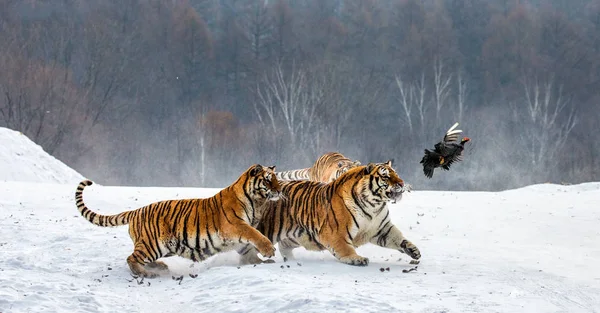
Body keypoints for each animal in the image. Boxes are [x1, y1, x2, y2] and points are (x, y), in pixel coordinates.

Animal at [75, 162, 282, 276]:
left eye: (276, 178)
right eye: (268, 179)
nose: (279, 189)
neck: (258, 202)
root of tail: (137, 211)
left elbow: (248, 249)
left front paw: (260, 262)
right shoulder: (236, 226)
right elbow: (255, 235)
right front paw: (269, 251)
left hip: (164, 247)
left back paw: (160, 267)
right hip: (152, 244)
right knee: (131, 258)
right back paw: (146, 274)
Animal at [237, 161, 420, 266]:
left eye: (396, 174)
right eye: (386, 176)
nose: (402, 183)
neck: (374, 205)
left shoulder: (382, 229)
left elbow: (398, 238)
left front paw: (413, 250)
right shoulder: (336, 232)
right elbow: (345, 248)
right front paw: (357, 259)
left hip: (296, 235)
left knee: (283, 247)